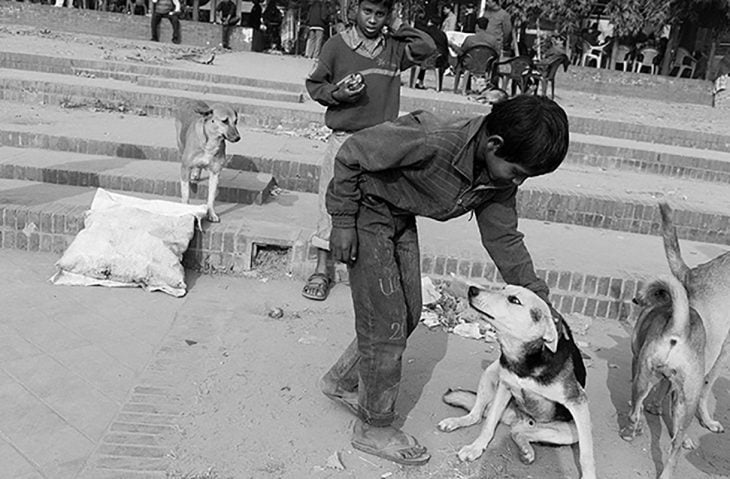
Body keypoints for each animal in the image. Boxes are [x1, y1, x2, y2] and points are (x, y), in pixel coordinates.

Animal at [436, 284, 596, 479]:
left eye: (514, 300)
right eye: (503, 288)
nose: (472, 289)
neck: (525, 360)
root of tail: (518, 418)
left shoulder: (578, 402)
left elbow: (586, 454)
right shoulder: (505, 387)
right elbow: (488, 425)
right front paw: (476, 447)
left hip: (569, 432)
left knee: (518, 432)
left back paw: (527, 450)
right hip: (490, 373)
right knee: (477, 416)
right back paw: (457, 422)